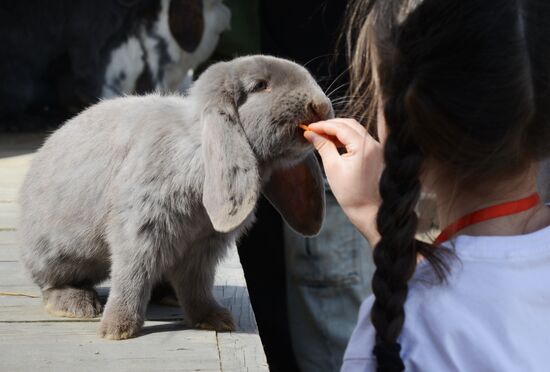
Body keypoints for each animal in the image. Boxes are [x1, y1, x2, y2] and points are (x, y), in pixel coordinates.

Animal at [19, 54, 332, 340]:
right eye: (259, 85)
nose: (320, 106)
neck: (198, 151)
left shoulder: (203, 247)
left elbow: (197, 285)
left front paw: (214, 319)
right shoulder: (140, 230)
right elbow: (131, 276)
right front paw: (117, 330)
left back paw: (168, 295)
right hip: (59, 255)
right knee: (53, 283)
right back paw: (77, 306)